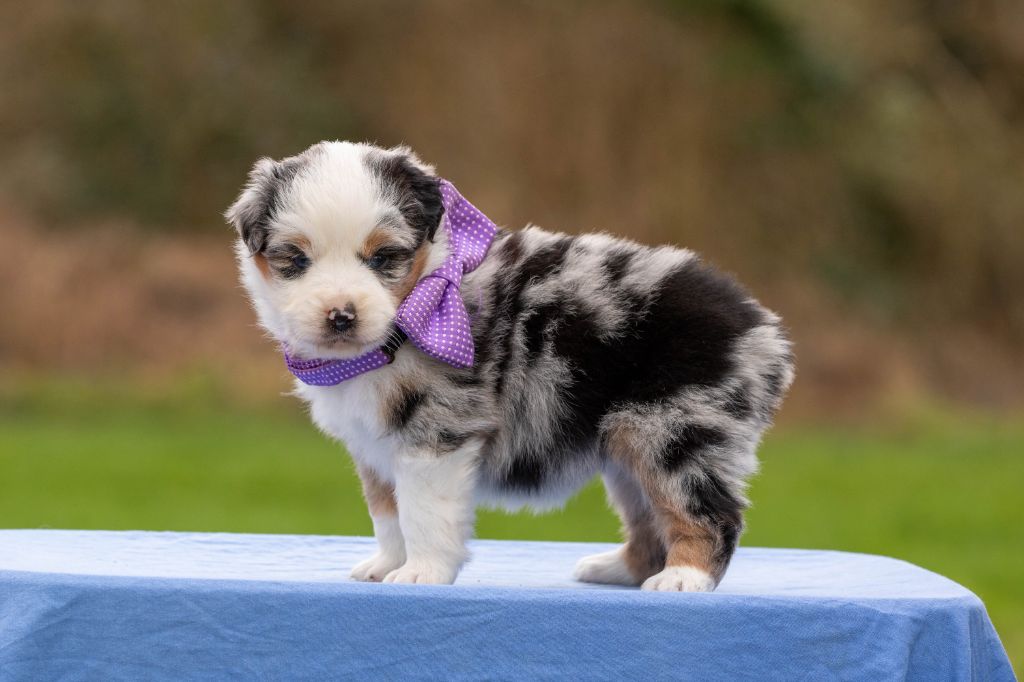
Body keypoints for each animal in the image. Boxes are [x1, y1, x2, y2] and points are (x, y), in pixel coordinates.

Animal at [226, 141, 794, 591]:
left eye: (383, 257)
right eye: (296, 260)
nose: (341, 315)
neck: (412, 311)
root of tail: (761, 328)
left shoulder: (438, 431)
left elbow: (423, 511)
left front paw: (421, 572)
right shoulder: (374, 446)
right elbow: (388, 512)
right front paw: (386, 564)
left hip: (675, 433)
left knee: (709, 513)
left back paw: (683, 578)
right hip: (627, 447)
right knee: (649, 518)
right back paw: (616, 569)